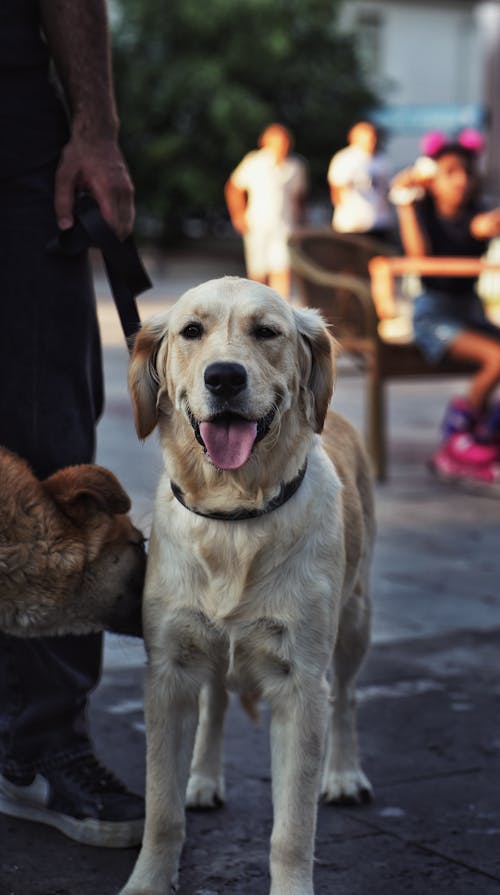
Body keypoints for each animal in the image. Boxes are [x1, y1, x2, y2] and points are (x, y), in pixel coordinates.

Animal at [119, 278, 374, 895]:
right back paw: (203, 780)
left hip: (355, 619)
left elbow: (293, 829)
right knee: (215, 702)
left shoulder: (300, 685)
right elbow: (161, 811)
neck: (233, 515)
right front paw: (149, 879)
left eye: (267, 332)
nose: (225, 377)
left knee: (348, 696)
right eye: (191, 331)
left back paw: (345, 773)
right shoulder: (168, 671)